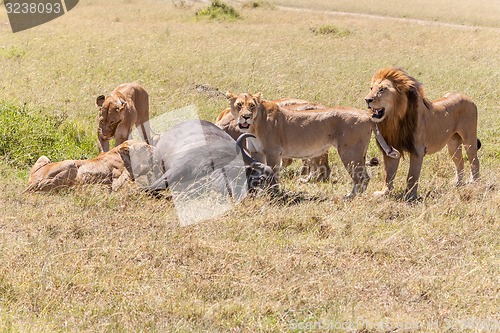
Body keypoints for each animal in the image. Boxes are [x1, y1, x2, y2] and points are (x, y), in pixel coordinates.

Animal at [24, 139, 153, 192]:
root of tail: (32, 183)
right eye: (145, 146)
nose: (155, 148)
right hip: (70, 164)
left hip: (44, 157)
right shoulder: (116, 183)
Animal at [226, 91, 372, 197]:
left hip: (349, 152)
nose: (246, 116)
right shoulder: (256, 152)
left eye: (252, 106)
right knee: (364, 177)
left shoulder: (273, 153)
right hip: (360, 153)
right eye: (239, 105)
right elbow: (259, 170)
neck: (254, 126)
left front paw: (273, 194)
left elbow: (273, 172)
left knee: (361, 177)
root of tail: (367, 114)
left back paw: (350, 197)